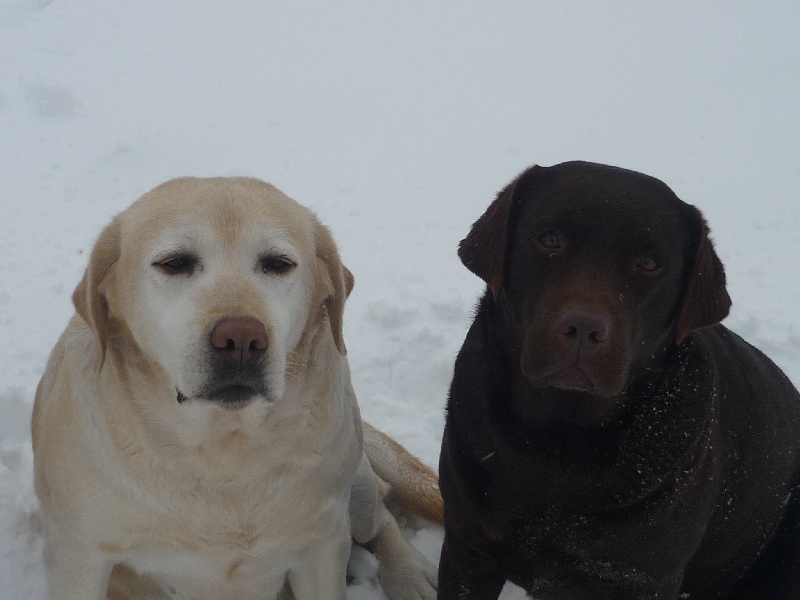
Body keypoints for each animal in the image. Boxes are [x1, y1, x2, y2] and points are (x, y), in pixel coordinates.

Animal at [31, 178, 440, 600]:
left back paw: (411, 574)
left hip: (354, 487)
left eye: (279, 263)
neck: (223, 453)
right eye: (174, 263)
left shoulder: (321, 549)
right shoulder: (78, 558)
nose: (241, 338)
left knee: (381, 516)